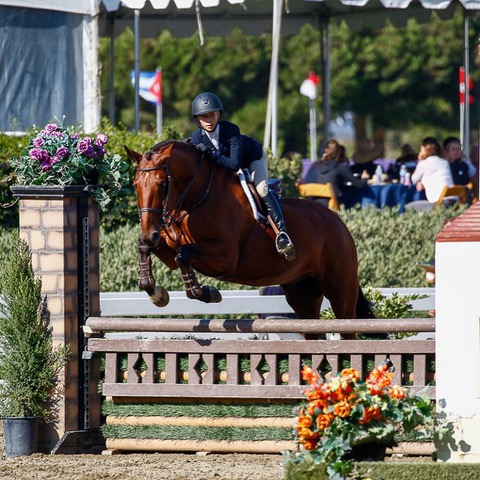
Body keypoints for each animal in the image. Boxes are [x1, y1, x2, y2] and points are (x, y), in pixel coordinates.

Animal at [124, 139, 376, 334]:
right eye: (135, 184)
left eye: (162, 184)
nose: (150, 233)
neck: (196, 199)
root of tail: (337, 222)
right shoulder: (168, 246)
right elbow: (146, 249)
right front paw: (156, 293)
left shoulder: (226, 257)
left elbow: (183, 255)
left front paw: (207, 293)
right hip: (302, 293)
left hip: (340, 292)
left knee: (347, 326)